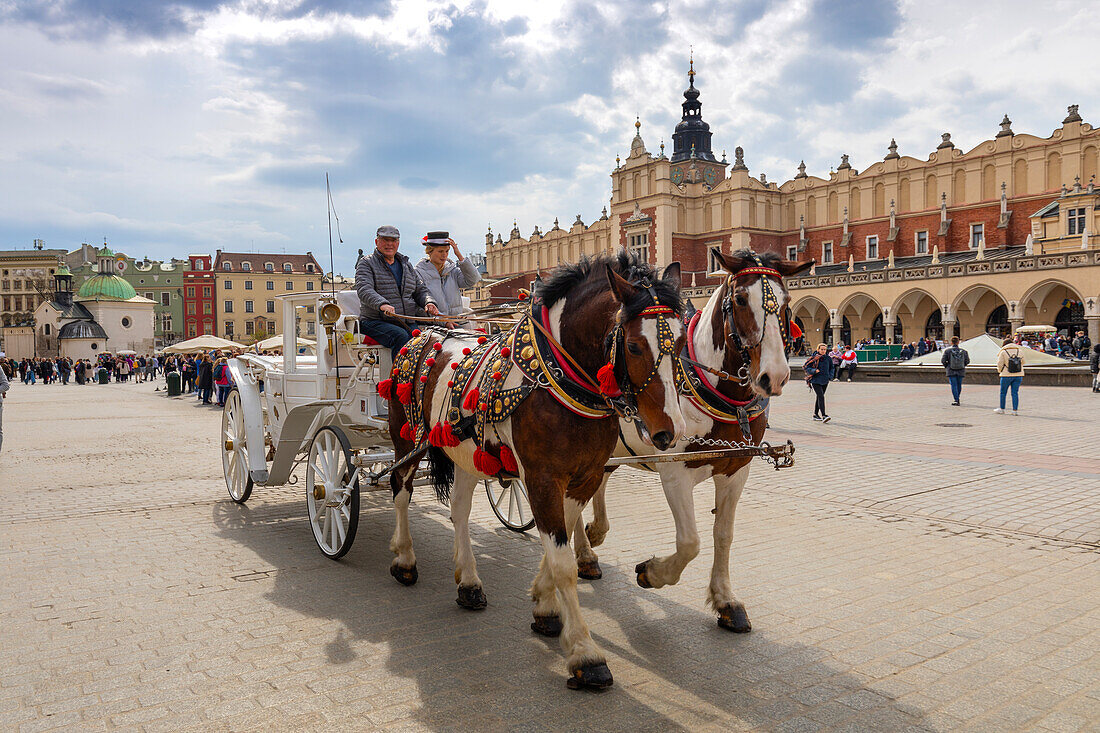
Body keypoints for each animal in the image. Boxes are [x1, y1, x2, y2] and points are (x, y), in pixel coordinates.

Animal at [382, 250, 682, 686]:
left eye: (682, 341)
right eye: (633, 344)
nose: (668, 432)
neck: (561, 383)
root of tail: (423, 333)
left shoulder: (584, 477)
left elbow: (564, 546)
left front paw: (544, 606)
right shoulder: (541, 478)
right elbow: (563, 564)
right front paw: (585, 653)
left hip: (467, 452)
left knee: (459, 510)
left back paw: (469, 582)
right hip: (406, 437)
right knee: (400, 490)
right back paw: (404, 559)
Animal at [572, 249, 814, 629]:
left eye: (787, 301)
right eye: (740, 299)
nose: (773, 376)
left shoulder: (736, 469)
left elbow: (723, 534)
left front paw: (726, 600)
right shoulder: (674, 470)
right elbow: (690, 542)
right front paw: (652, 573)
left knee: (595, 485)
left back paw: (593, 535)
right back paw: (584, 553)